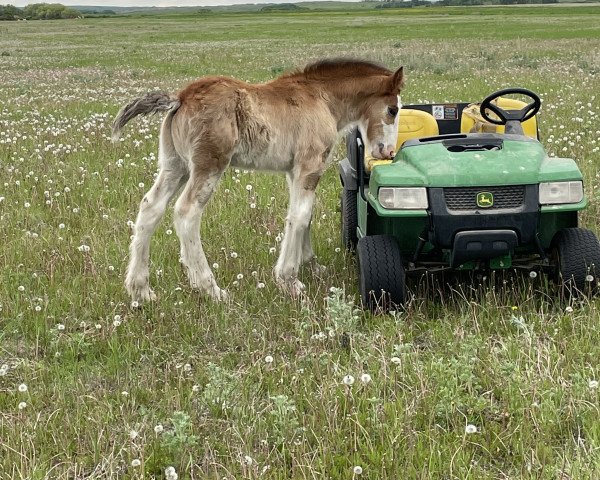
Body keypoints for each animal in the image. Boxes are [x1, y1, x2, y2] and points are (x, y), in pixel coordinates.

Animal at [112, 58, 404, 302]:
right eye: (392, 110)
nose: (388, 152)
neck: (322, 99)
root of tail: (180, 98)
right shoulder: (310, 166)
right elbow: (299, 216)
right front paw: (289, 280)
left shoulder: (293, 171)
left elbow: (304, 216)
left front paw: (311, 266)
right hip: (208, 166)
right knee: (186, 212)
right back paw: (210, 289)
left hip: (175, 166)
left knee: (150, 207)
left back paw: (140, 289)